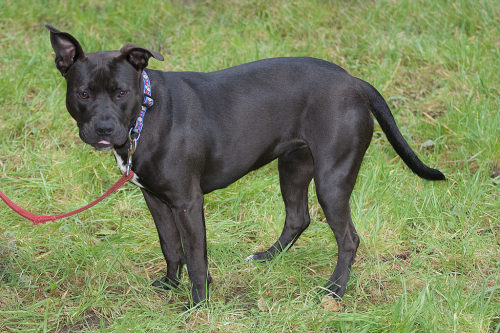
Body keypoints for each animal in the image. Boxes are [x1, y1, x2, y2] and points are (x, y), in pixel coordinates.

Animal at [46, 24, 446, 308]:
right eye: (83, 94)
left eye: (120, 93)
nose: (103, 128)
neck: (146, 113)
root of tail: (354, 82)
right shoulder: (156, 200)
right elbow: (170, 246)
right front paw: (171, 285)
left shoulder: (188, 203)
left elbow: (196, 256)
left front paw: (198, 304)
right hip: (294, 167)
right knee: (298, 217)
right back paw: (267, 257)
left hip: (331, 181)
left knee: (348, 238)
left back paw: (334, 290)